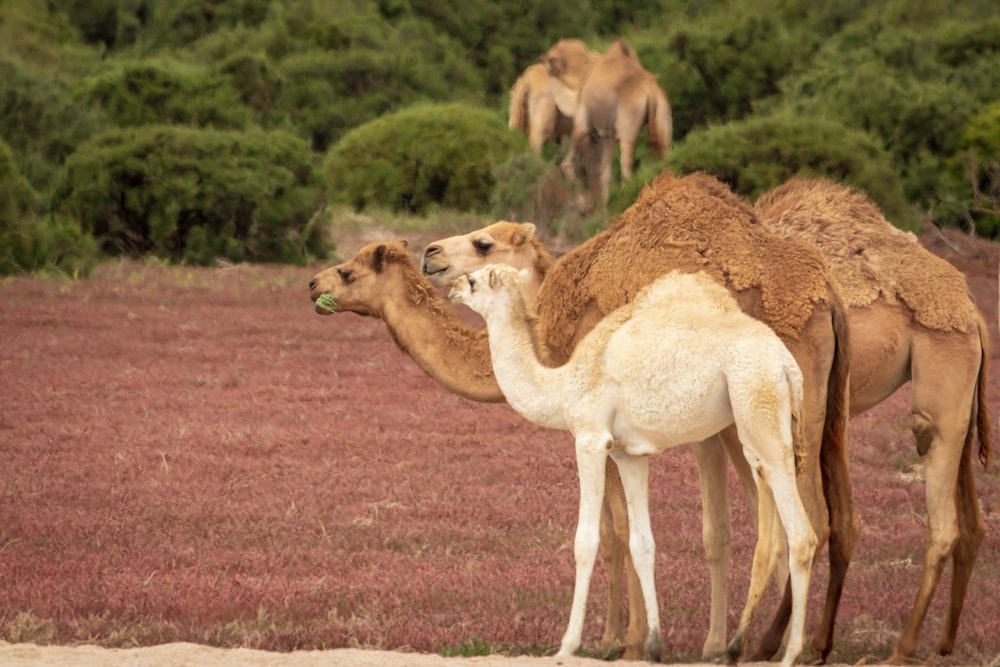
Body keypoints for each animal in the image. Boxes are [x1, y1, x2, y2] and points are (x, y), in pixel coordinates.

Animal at [450, 266, 816, 667]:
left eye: (474, 280)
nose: (452, 287)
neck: (562, 387)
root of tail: (788, 368)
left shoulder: (591, 441)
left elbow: (585, 541)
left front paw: (568, 645)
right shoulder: (629, 455)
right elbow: (643, 543)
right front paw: (653, 645)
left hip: (757, 407)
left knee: (801, 534)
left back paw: (787, 652)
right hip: (762, 423)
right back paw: (742, 647)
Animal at [756, 177, 992, 664]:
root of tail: (972, 311)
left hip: (940, 370)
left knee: (942, 516)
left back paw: (900, 648)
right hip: (961, 394)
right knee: (973, 521)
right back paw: (943, 643)